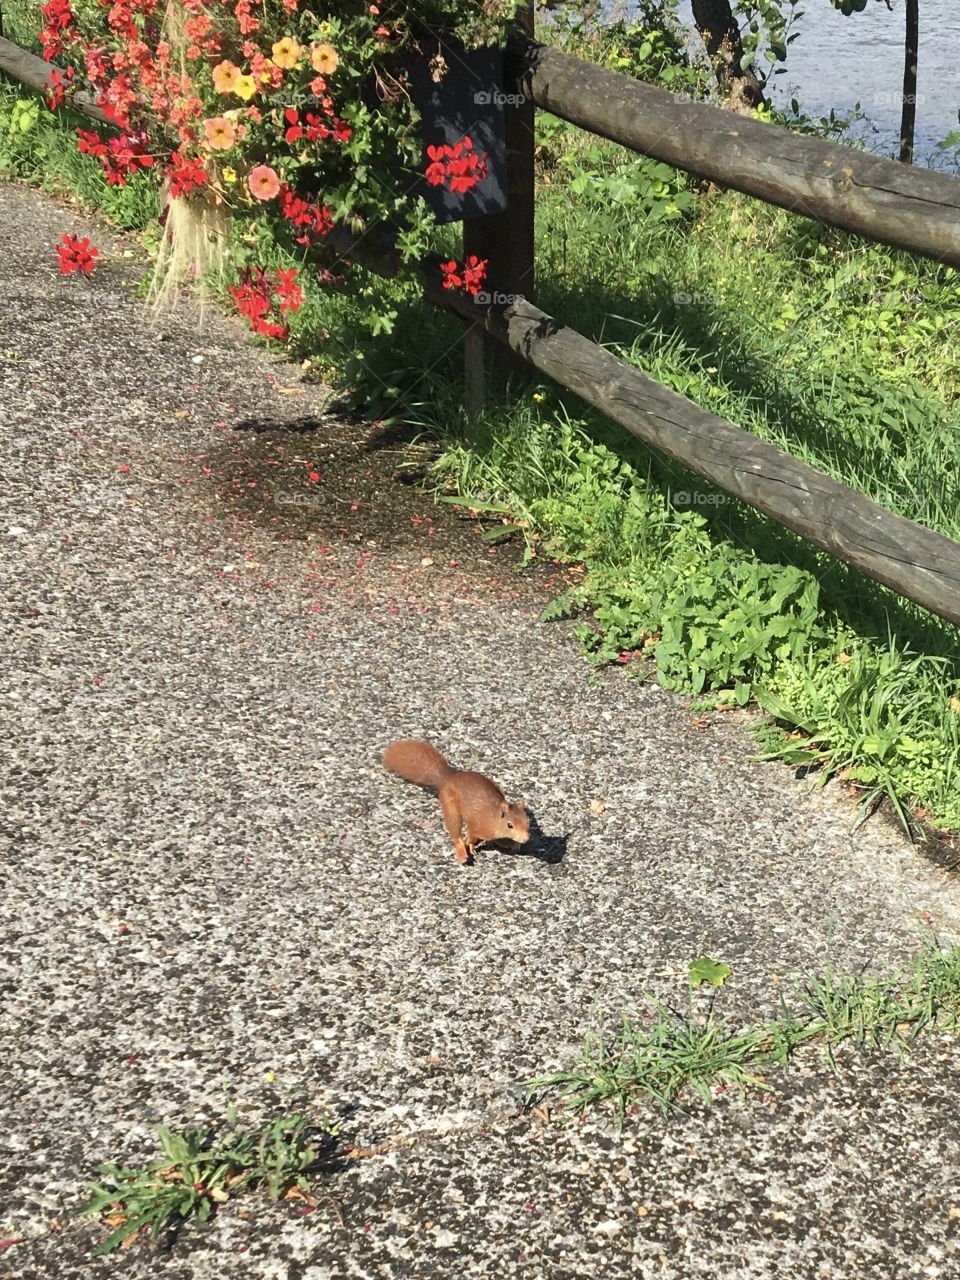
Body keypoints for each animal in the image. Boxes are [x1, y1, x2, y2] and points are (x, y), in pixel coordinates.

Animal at [382, 739, 530, 864]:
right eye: (510, 825)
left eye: (527, 821)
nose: (525, 839)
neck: (495, 820)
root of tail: (448, 780)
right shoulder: (479, 825)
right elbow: (471, 836)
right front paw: (470, 846)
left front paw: (515, 844)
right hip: (449, 803)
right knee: (455, 831)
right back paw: (462, 852)